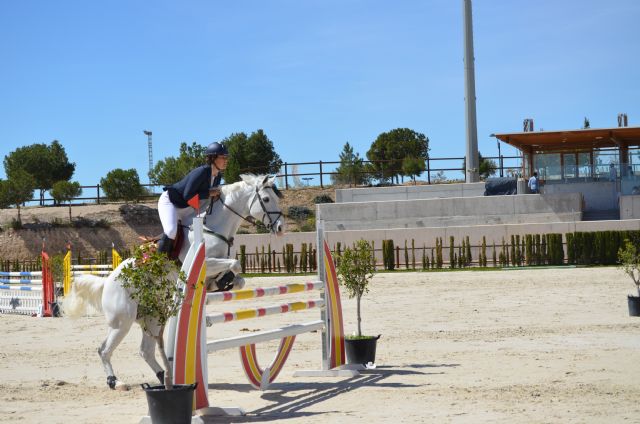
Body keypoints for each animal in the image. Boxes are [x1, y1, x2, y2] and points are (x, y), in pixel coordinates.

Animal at [63, 174, 284, 390]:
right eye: (266, 199)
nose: (281, 228)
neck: (212, 228)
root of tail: (108, 282)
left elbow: (239, 279)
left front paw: (221, 283)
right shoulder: (204, 262)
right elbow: (236, 264)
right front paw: (222, 281)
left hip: (152, 317)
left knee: (146, 350)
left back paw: (164, 377)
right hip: (122, 321)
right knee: (104, 350)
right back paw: (115, 381)